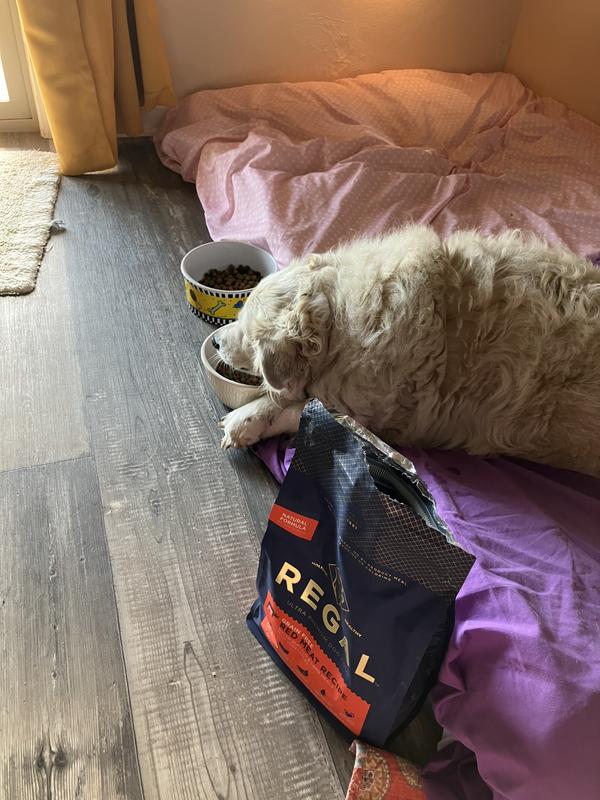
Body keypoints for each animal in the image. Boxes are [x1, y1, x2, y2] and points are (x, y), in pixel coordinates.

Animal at [213, 225, 600, 477]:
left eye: (246, 334)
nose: (216, 341)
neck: (339, 315)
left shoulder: (370, 414)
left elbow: (298, 409)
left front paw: (245, 420)